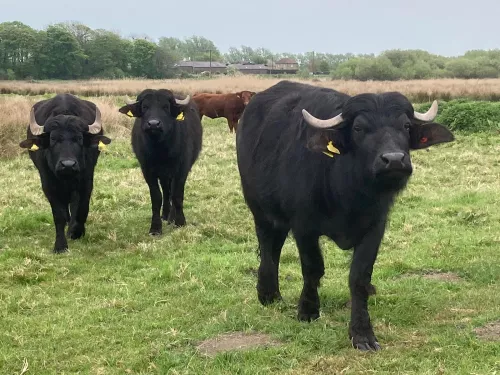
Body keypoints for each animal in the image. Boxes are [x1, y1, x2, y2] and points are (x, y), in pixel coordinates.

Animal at [19, 94, 111, 254]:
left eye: (79, 138)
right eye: (53, 139)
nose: (68, 165)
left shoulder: (86, 181)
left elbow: (81, 209)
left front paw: (76, 232)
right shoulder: (48, 185)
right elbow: (59, 215)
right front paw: (60, 246)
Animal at [118, 89, 202, 235]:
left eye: (166, 107)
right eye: (145, 107)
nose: (153, 124)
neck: (161, 150)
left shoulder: (182, 169)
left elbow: (177, 195)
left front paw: (180, 222)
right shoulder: (148, 171)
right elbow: (157, 197)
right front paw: (155, 227)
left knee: (172, 191)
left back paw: (172, 217)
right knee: (166, 191)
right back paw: (166, 215)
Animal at [236, 80, 456, 352]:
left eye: (405, 126)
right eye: (359, 128)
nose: (394, 160)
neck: (349, 193)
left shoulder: (375, 227)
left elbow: (359, 277)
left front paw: (362, 333)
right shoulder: (304, 226)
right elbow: (312, 268)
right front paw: (308, 310)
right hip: (260, 209)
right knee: (269, 246)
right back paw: (269, 294)